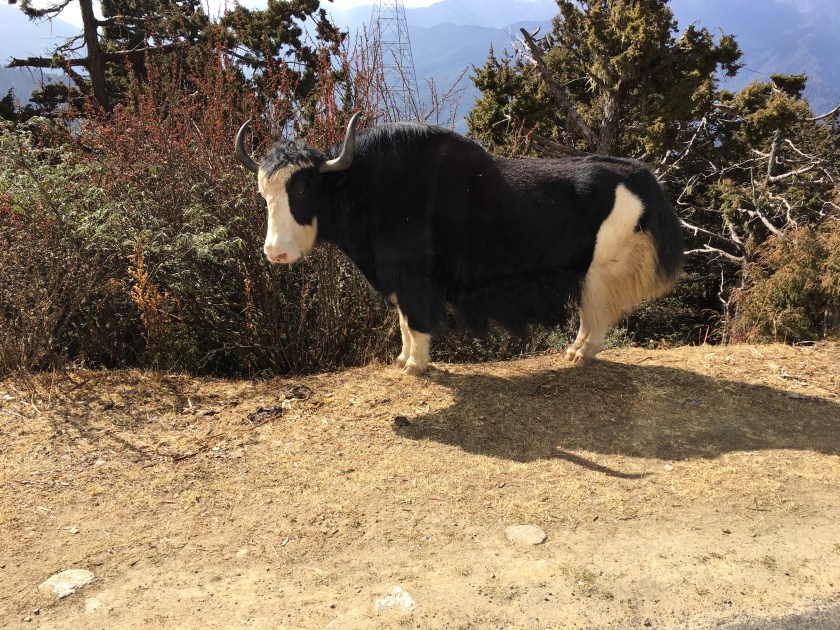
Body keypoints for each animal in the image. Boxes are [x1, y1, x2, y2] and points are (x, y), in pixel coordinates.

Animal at [235, 113, 684, 375]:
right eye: (263, 191)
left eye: (304, 187)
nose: (275, 252)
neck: (364, 187)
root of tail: (642, 177)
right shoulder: (398, 278)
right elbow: (403, 322)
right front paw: (403, 359)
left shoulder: (414, 276)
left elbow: (416, 321)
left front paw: (415, 367)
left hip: (600, 267)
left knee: (595, 313)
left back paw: (577, 355)